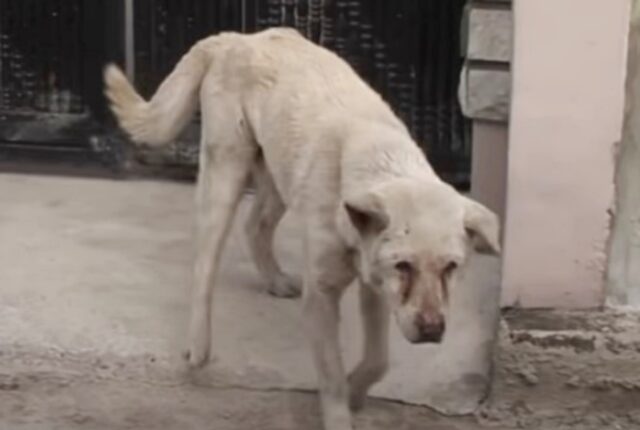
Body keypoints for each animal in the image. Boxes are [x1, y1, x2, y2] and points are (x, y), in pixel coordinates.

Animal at [104, 27, 500, 430]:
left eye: (451, 267)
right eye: (403, 265)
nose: (434, 330)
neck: (380, 163)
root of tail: (237, 38)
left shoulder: (374, 287)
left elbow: (378, 360)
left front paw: (357, 388)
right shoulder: (322, 296)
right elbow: (332, 375)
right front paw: (341, 410)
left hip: (279, 177)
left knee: (255, 225)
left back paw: (275, 280)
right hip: (227, 171)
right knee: (205, 263)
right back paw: (199, 345)